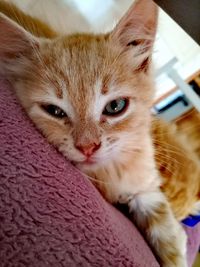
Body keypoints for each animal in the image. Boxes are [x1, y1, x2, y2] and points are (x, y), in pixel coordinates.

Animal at [0, 0, 199, 266]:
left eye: (115, 106)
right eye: (54, 111)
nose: (87, 147)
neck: (112, 170)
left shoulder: (147, 189)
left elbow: (168, 236)